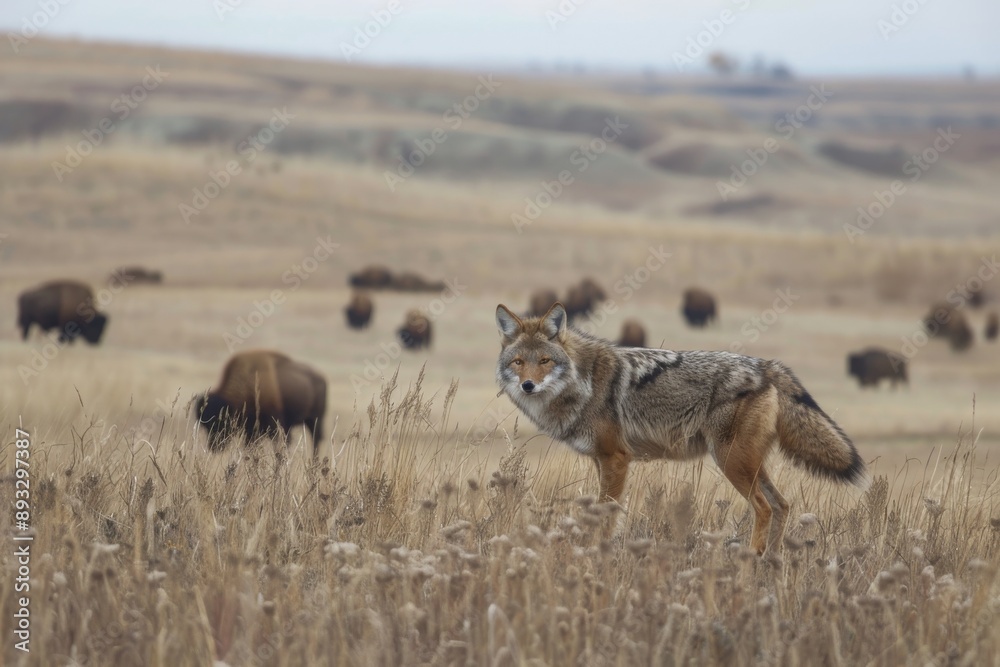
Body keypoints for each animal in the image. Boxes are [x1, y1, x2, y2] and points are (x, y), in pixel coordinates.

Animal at [194, 350, 327, 456]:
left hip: (315, 420)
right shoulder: (251, 430)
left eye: (219, 422)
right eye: (205, 425)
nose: (214, 447)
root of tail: (321, 377)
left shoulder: (273, 425)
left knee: (315, 440)